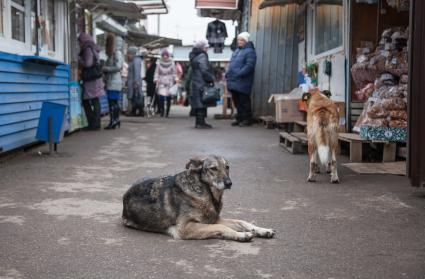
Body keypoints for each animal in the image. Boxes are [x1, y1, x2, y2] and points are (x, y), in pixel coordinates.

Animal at [122, 155, 274, 243]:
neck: (207, 193)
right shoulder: (185, 228)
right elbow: (221, 226)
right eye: (213, 168)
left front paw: (262, 230)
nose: (229, 183)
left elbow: (241, 221)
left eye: (227, 167)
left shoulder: (213, 219)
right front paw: (240, 235)